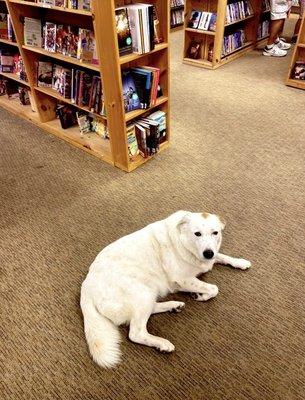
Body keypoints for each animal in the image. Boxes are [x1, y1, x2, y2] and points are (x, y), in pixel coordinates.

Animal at [79, 209, 251, 368]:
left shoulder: (210, 256)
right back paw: (162, 343)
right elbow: (214, 288)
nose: (208, 253)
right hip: (143, 293)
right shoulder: (182, 280)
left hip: (148, 294)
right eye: (197, 234)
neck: (184, 242)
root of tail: (86, 287)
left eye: (215, 233)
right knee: (136, 333)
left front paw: (240, 262)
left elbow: (222, 256)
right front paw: (201, 295)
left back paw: (174, 306)